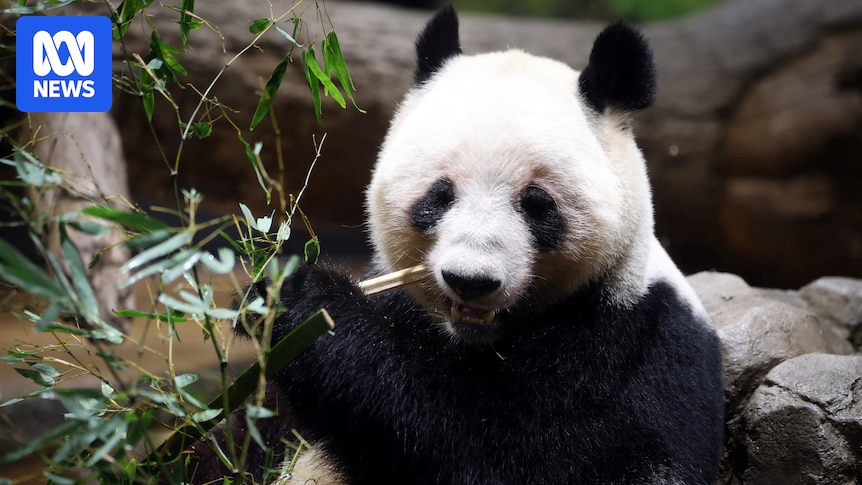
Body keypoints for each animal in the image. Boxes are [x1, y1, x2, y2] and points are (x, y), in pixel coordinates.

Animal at [227, 6, 724, 484]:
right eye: (439, 196)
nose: (470, 281)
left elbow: (487, 449)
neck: (473, 338)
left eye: (537, 205)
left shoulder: (619, 346)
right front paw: (263, 297)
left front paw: (308, 303)